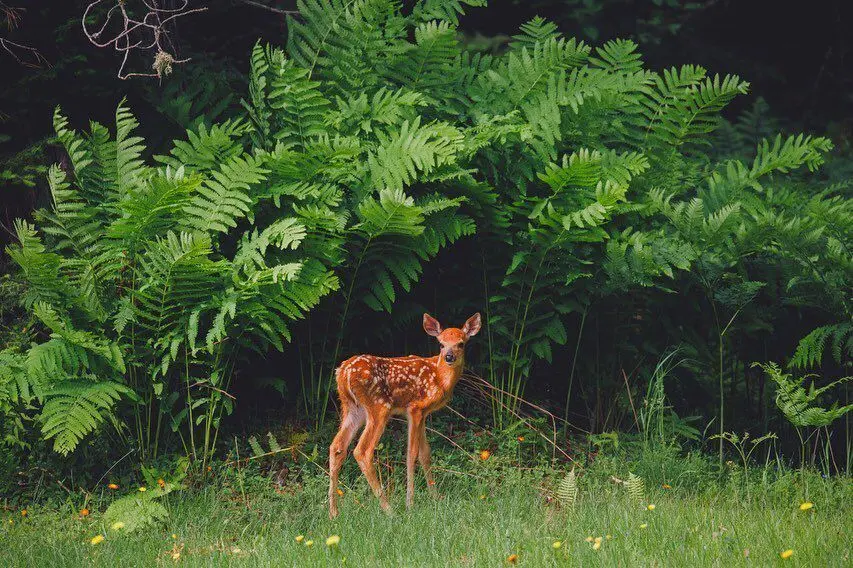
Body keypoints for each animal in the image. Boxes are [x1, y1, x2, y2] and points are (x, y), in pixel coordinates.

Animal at [330, 312, 480, 516]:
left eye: (461, 343)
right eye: (441, 344)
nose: (449, 356)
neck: (440, 377)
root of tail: (343, 372)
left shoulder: (424, 413)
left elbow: (425, 453)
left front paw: (436, 497)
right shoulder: (415, 408)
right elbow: (411, 453)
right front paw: (410, 503)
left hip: (352, 408)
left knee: (336, 447)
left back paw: (333, 513)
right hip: (379, 407)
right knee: (362, 451)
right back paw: (389, 509)